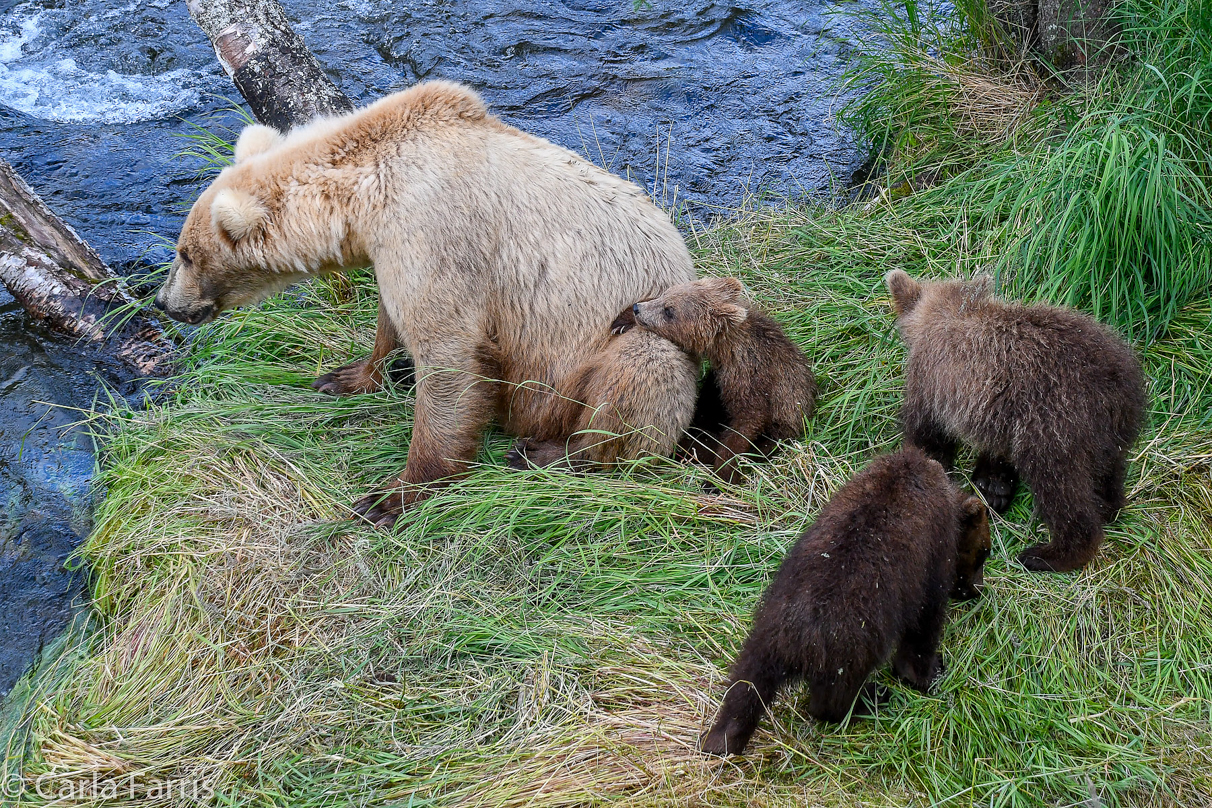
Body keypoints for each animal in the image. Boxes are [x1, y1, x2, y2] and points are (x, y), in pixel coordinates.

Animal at [156, 80, 698, 525]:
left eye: (184, 254)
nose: (164, 302)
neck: (362, 198)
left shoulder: (436, 231)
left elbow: (449, 358)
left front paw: (389, 497)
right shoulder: (392, 249)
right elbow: (390, 318)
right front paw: (345, 377)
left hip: (635, 335)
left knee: (641, 371)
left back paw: (546, 452)